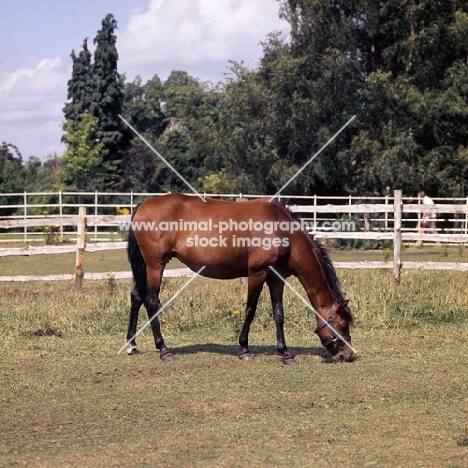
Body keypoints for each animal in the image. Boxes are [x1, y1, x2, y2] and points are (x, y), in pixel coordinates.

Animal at [124, 192, 354, 364]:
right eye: (342, 325)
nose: (348, 355)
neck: (281, 230)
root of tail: (142, 205)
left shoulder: (276, 279)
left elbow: (278, 315)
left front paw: (286, 353)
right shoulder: (257, 273)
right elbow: (250, 310)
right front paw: (244, 349)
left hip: (146, 268)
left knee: (136, 297)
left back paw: (132, 345)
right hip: (155, 265)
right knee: (151, 302)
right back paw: (164, 349)